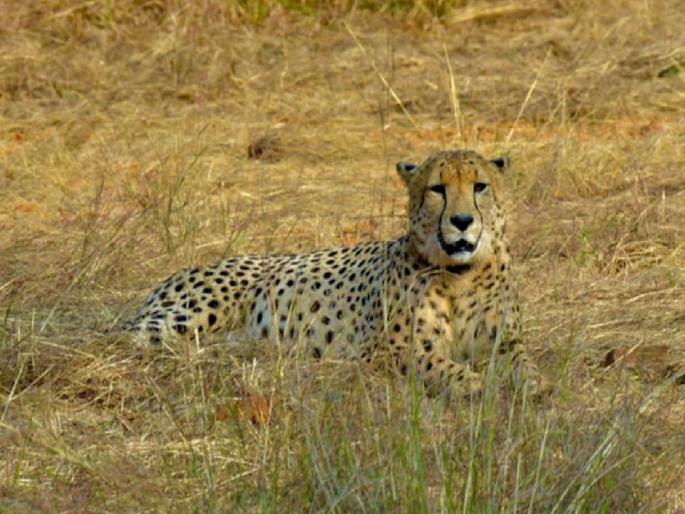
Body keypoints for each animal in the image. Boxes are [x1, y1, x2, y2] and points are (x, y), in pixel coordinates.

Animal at [123, 149, 544, 396]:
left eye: (480, 186)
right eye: (437, 189)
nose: (461, 221)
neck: (459, 274)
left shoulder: (505, 340)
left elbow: (523, 363)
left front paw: (532, 384)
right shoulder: (387, 349)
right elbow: (437, 364)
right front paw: (472, 383)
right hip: (183, 318)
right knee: (123, 338)